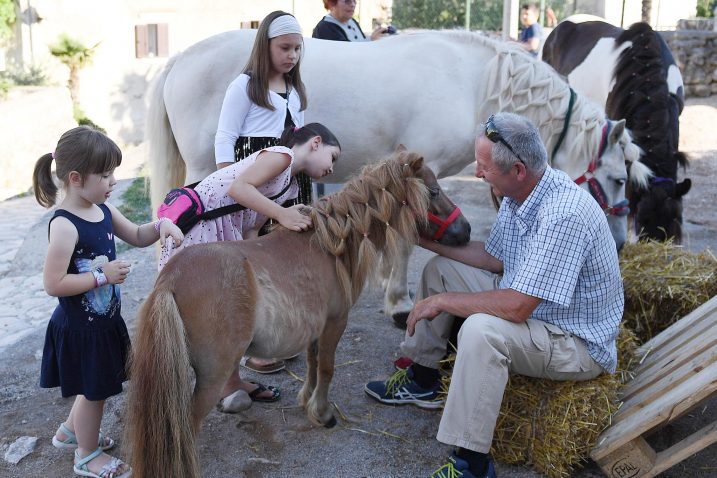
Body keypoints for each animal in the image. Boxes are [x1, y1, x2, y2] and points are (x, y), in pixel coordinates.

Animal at [126, 152, 472, 478]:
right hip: (212, 374)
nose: (466, 231)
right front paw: (322, 413)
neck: (327, 242)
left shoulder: (314, 329)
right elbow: (328, 368)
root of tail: (171, 279)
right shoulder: (334, 323)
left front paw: (307, 400)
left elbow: (313, 364)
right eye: (434, 191)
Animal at [148, 29, 648, 324]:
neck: (470, 81)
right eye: (618, 178)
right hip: (204, 169)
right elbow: (407, 239)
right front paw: (399, 302)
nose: (622, 243)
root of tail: (180, 59)